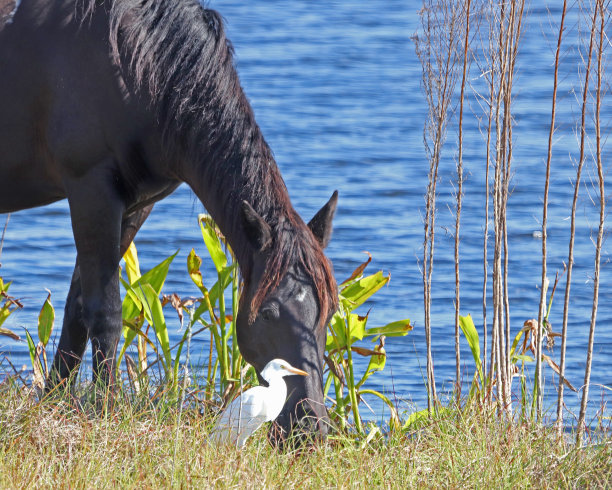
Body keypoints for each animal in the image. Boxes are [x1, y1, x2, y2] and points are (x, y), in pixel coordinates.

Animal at [0, 0, 338, 440]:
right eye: (267, 313)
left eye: (328, 313)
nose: (308, 428)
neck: (136, 64)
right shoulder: (91, 190)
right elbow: (105, 311)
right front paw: (105, 410)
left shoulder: (134, 204)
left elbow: (77, 309)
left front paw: (53, 403)